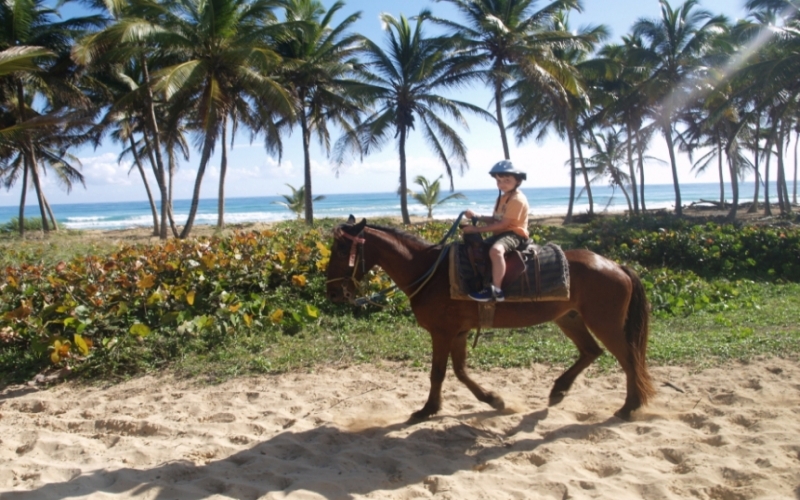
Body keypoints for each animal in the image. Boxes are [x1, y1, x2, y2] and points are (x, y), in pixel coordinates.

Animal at [326, 216, 655, 421]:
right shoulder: (457, 333)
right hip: (570, 318)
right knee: (591, 351)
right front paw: (492, 399)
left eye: (343, 250)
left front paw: (427, 409)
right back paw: (559, 390)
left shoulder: (442, 333)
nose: (333, 293)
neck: (430, 271)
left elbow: (438, 373)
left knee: (629, 360)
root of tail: (617, 265)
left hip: (605, 323)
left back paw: (629, 407)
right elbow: (459, 372)